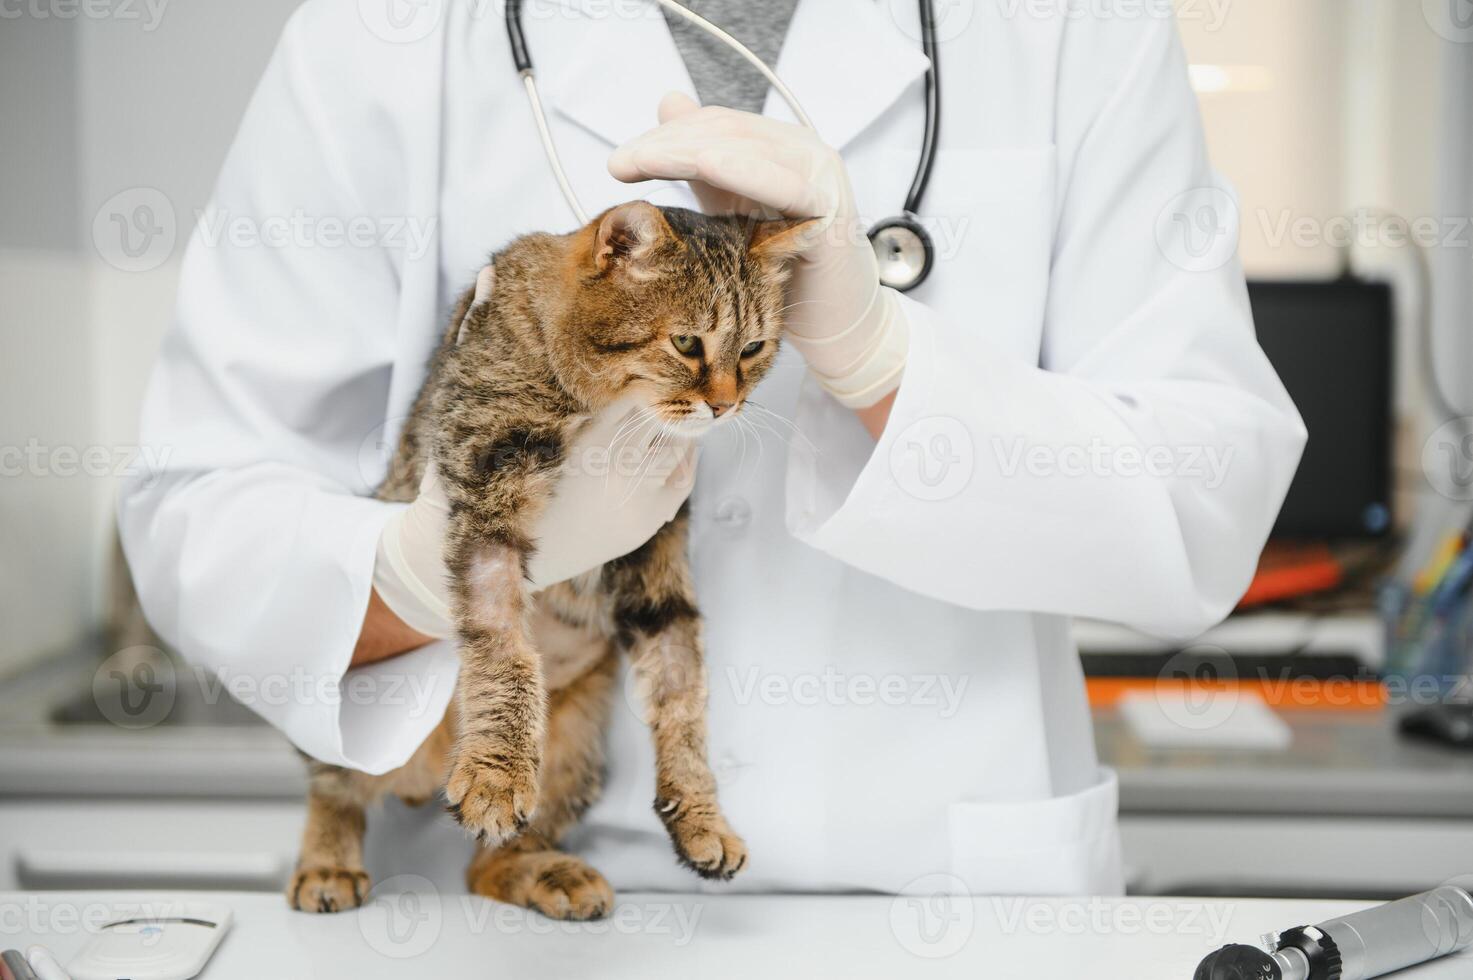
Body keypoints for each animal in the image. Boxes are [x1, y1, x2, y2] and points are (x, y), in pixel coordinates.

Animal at [287, 198, 818, 919]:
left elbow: (681, 682)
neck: (601, 406)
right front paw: (496, 770)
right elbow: (501, 644)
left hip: (575, 751)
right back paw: (328, 861)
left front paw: (701, 812)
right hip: (355, 726)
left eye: (754, 349)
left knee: (486, 863)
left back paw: (545, 874)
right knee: (333, 780)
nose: (725, 403)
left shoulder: (656, 552)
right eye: (687, 344)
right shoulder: (486, 493)